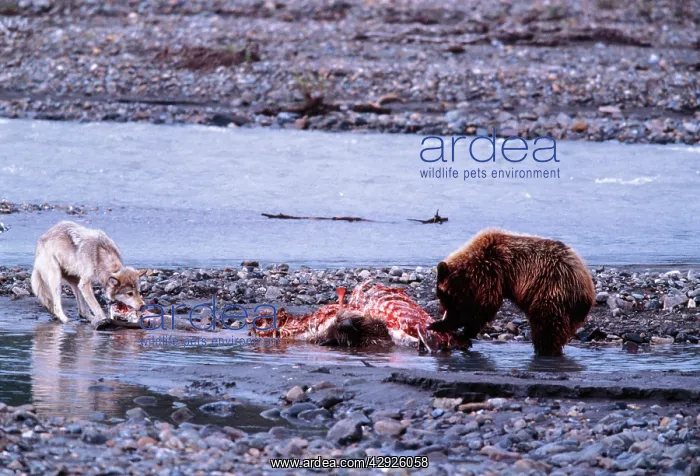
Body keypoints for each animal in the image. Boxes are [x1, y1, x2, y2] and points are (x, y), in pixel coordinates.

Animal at [428, 228, 595, 356]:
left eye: (442, 294)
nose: (441, 310)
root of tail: (587, 289)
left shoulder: (491, 272)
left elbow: (483, 307)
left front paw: (444, 326)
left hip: (552, 291)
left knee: (547, 327)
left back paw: (545, 351)